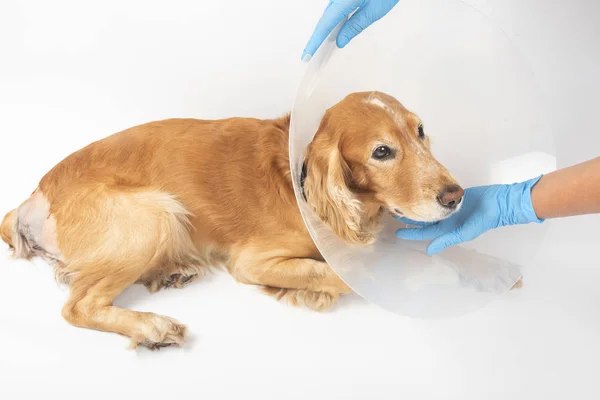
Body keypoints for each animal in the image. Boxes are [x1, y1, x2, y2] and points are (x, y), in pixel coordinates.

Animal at [0, 90, 464, 346]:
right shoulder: (253, 261)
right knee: (78, 306)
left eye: (420, 131)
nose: (456, 196)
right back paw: (151, 327)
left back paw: (172, 272)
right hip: (155, 212)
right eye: (381, 151)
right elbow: (333, 276)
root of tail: (32, 198)